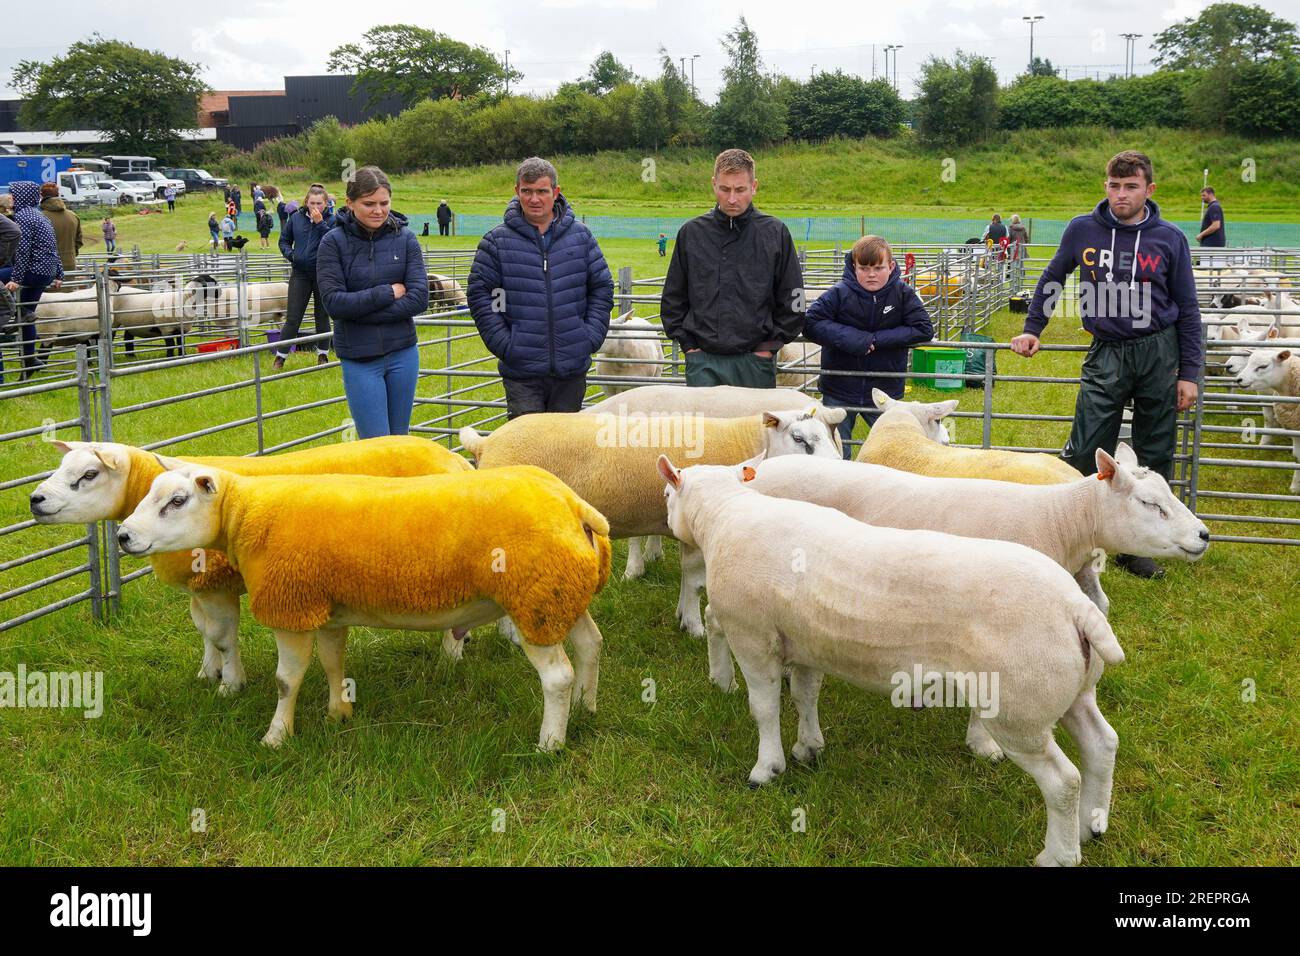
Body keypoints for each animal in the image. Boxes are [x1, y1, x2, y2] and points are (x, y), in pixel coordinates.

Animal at [32, 437, 473, 691]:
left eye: (89, 474)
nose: (35, 500)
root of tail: (455, 459)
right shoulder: (202, 587)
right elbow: (204, 632)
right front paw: (208, 672)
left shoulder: (216, 583)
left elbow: (223, 637)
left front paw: (231, 685)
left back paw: (449, 658)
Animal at [660, 455, 1128, 868]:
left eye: (667, 493)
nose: (665, 522)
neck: (724, 514)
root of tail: (1075, 607)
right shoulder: (806, 643)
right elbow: (805, 695)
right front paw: (808, 747)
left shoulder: (753, 637)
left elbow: (763, 708)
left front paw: (766, 768)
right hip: (1070, 690)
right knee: (1101, 744)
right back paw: (1091, 827)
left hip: (1019, 707)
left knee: (1062, 781)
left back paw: (1059, 854)